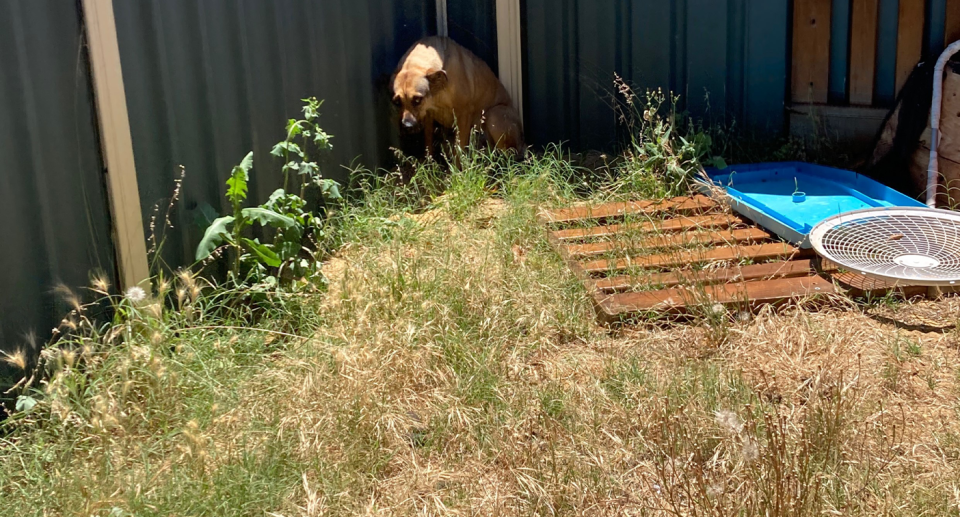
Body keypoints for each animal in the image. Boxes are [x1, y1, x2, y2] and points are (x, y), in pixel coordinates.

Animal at [390, 35, 524, 155]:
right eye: (397, 102)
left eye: (417, 99)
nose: (407, 126)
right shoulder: (428, 115)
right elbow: (428, 144)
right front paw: (429, 163)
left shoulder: (463, 114)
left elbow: (458, 150)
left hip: (494, 114)